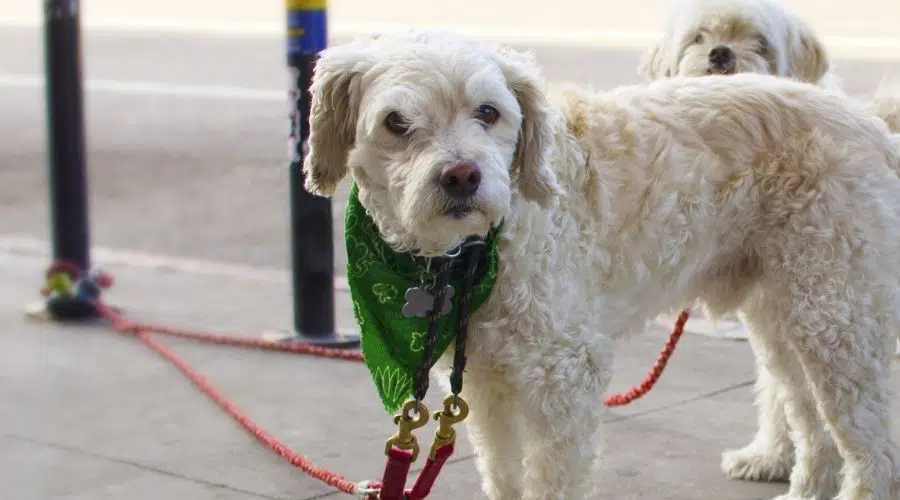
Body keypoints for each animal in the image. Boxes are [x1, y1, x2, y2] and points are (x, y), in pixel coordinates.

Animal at [300, 31, 900, 500]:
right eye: (396, 122)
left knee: (876, 452)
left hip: (838, 323)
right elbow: (503, 474)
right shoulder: (490, 384)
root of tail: (874, 128)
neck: (479, 251)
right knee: (811, 421)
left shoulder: (565, 373)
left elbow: (552, 480)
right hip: (788, 318)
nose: (462, 176)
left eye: (488, 112)